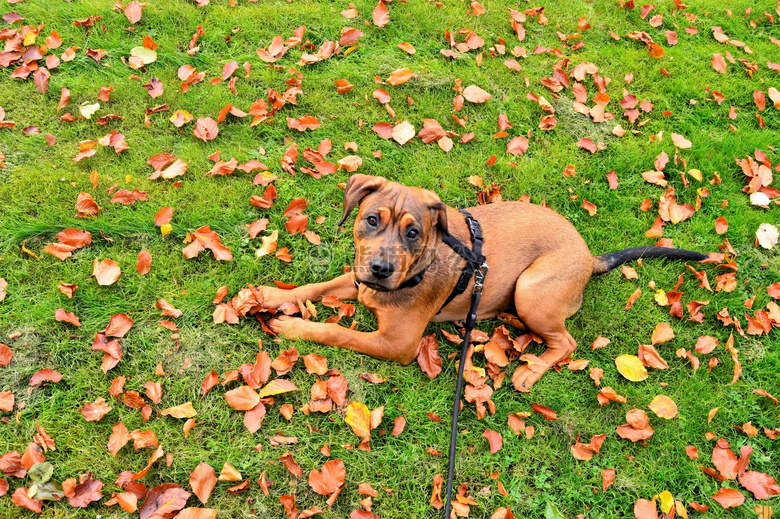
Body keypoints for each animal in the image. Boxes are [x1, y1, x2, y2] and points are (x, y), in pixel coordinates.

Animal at [264, 175, 708, 390]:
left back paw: (532, 370)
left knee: (566, 342)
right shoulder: (356, 281)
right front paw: (270, 294)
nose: (380, 269)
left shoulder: (398, 344)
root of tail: (587, 257)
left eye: (413, 233)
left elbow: (337, 332)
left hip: (530, 291)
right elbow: (315, 288)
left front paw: (294, 326)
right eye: (371, 219)